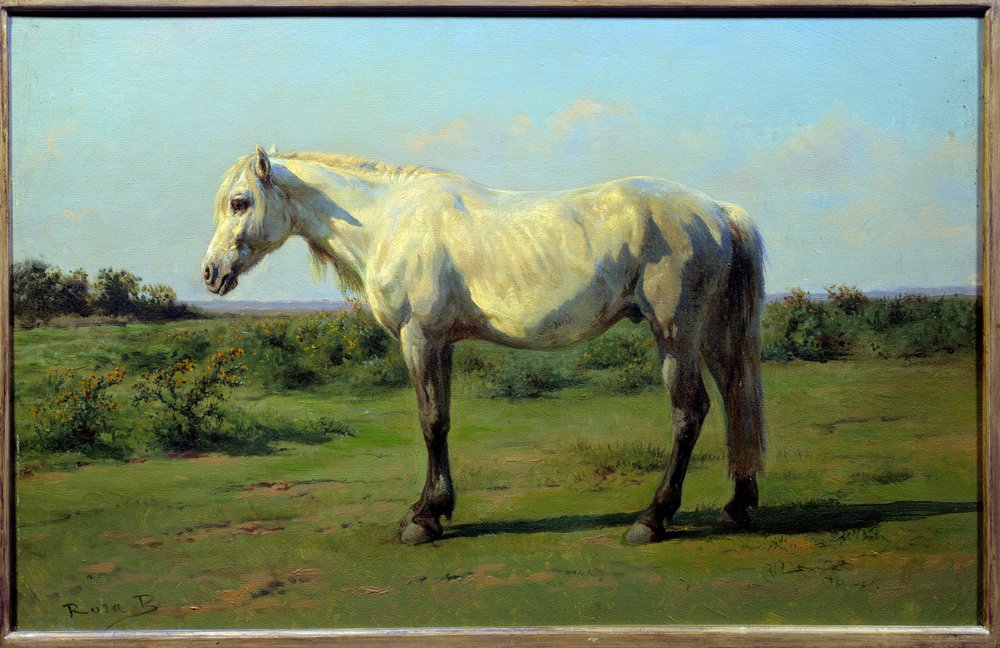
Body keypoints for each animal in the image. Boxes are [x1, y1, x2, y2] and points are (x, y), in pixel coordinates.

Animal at [202, 145, 766, 546]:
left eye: (239, 202)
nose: (210, 274)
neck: (388, 221)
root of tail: (717, 211)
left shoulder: (420, 337)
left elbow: (431, 423)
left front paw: (424, 520)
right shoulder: (441, 343)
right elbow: (442, 420)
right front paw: (431, 509)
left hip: (675, 333)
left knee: (690, 411)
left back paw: (652, 519)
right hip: (711, 335)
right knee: (735, 396)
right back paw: (737, 506)